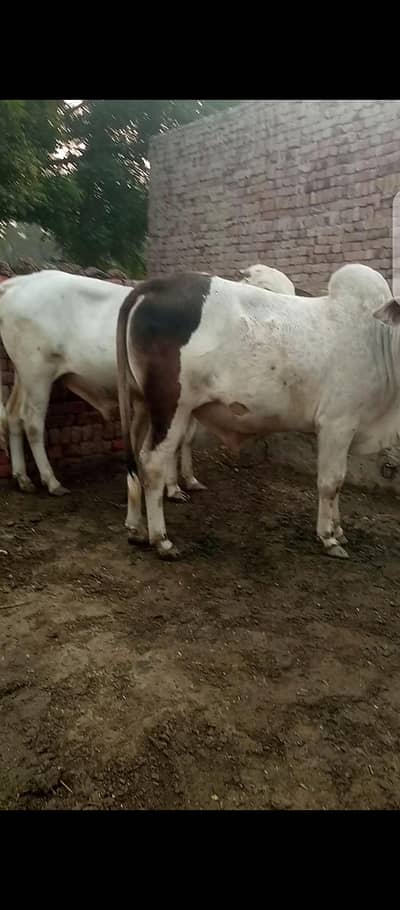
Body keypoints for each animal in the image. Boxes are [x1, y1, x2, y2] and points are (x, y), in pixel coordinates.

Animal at [116, 263, 396, 560]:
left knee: (135, 458)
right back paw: (161, 540)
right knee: (152, 462)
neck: (377, 338)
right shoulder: (336, 425)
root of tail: (151, 286)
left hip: (142, 405)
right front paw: (329, 537)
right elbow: (331, 483)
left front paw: (339, 530)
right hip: (172, 405)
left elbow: (339, 484)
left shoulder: (347, 429)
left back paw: (136, 528)